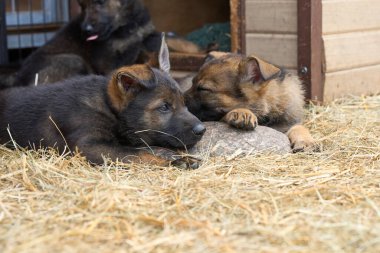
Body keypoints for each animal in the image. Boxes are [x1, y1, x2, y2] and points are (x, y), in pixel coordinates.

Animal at [0, 34, 205, 167]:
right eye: (164, 107)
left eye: (184, 103)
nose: (202, 130)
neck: (107, 106)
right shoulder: (87, 146)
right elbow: (137, 153)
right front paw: (173, 159)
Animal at [184, 50, 314, 151]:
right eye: (192, 83)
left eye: (203, 89)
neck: (271, 105)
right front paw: (242, 112)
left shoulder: (288, 124)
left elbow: (299, 127)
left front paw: (305, 140)